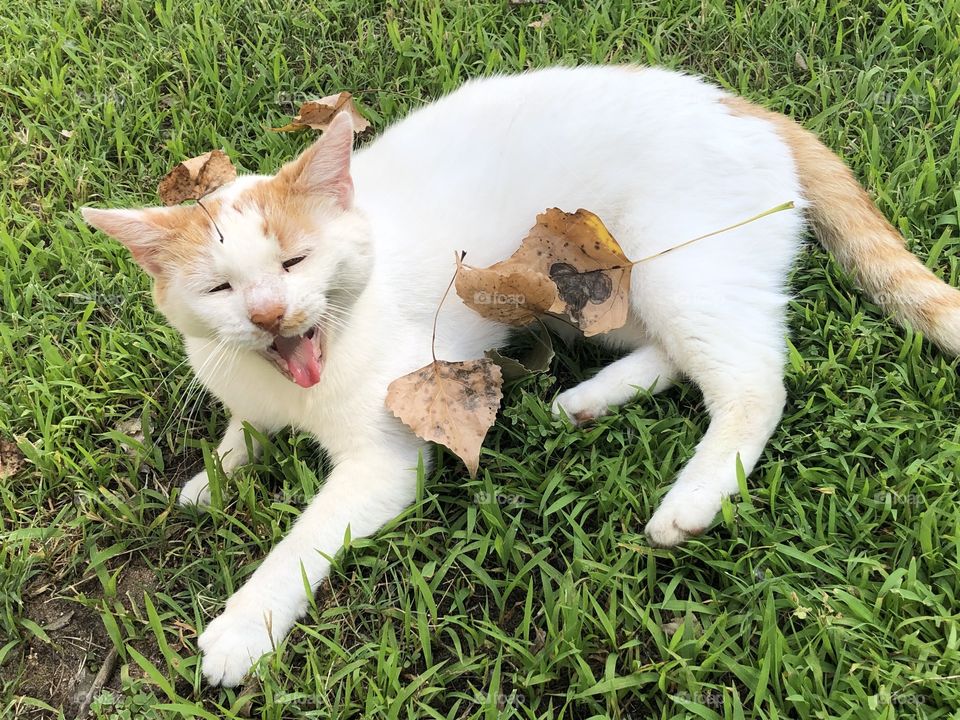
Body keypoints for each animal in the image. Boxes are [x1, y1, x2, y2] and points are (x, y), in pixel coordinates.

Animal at [80, 66, 960, 688]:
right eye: (220, 290)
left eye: (295, 262)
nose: (268, 315)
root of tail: (741, 106)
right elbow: (243, 430)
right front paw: (219, 471)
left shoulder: (385, 461)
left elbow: (304, 537)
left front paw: (244, 625)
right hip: (591, 296)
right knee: (674, 354)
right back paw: (585, 401)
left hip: (677, 272)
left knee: (754, 383)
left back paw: (690, 500)